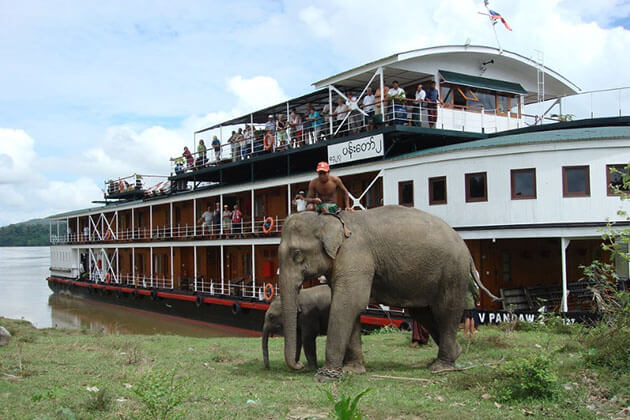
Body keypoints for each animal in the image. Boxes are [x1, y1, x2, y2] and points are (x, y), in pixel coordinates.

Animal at [280, 205, 498, 382]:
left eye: (297, 255)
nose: (299, 365)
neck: (330, 219)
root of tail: (466, 247)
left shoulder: (355, 256)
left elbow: (348, 304)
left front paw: (326, 377)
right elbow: (351, 308)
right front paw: (353, 370)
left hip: (452, 271)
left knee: (445, 310)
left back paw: (441, 367)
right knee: (422, 312)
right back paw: (454, 354)